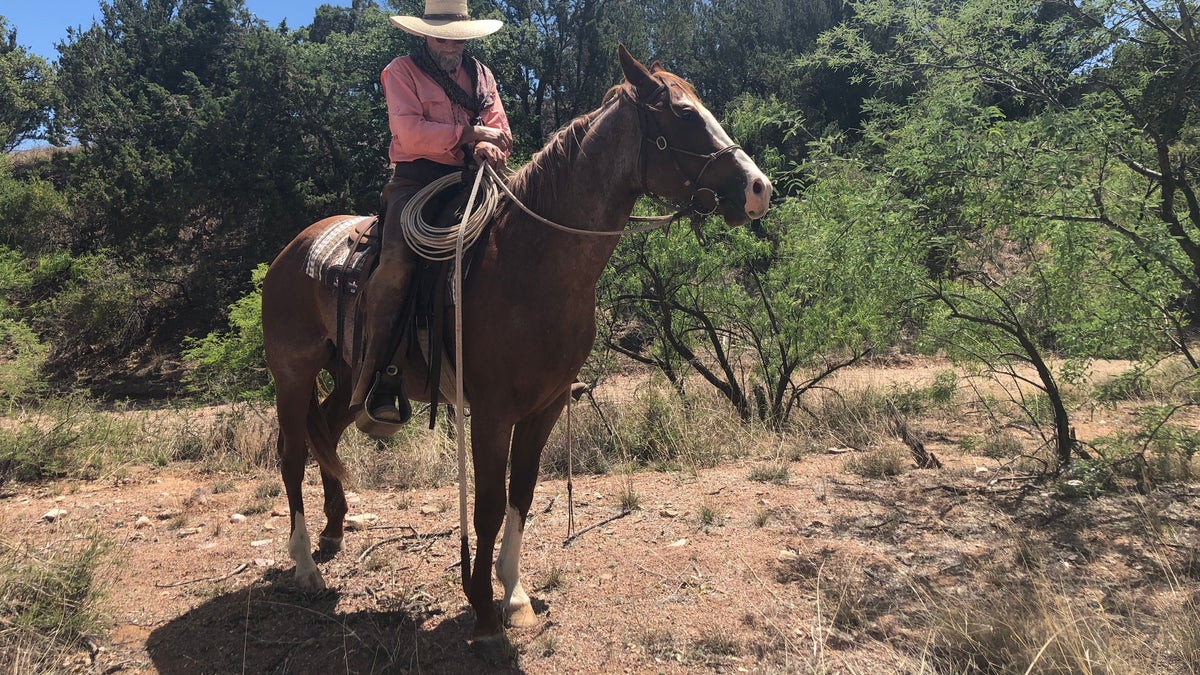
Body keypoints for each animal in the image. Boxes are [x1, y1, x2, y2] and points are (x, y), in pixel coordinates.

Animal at [259, 44, 772, 643]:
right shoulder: (491, 412)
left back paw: (335, 532)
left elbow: (521, 495)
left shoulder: (545, 407)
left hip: (352, 375)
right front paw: (482, 604)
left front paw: (515, 593)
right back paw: (305, 565)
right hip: (291, 373)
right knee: (292, 453)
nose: (759, 188)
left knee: (326, 427)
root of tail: (293, 250)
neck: (534, 264)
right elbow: (486, 504)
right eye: (685, 114)